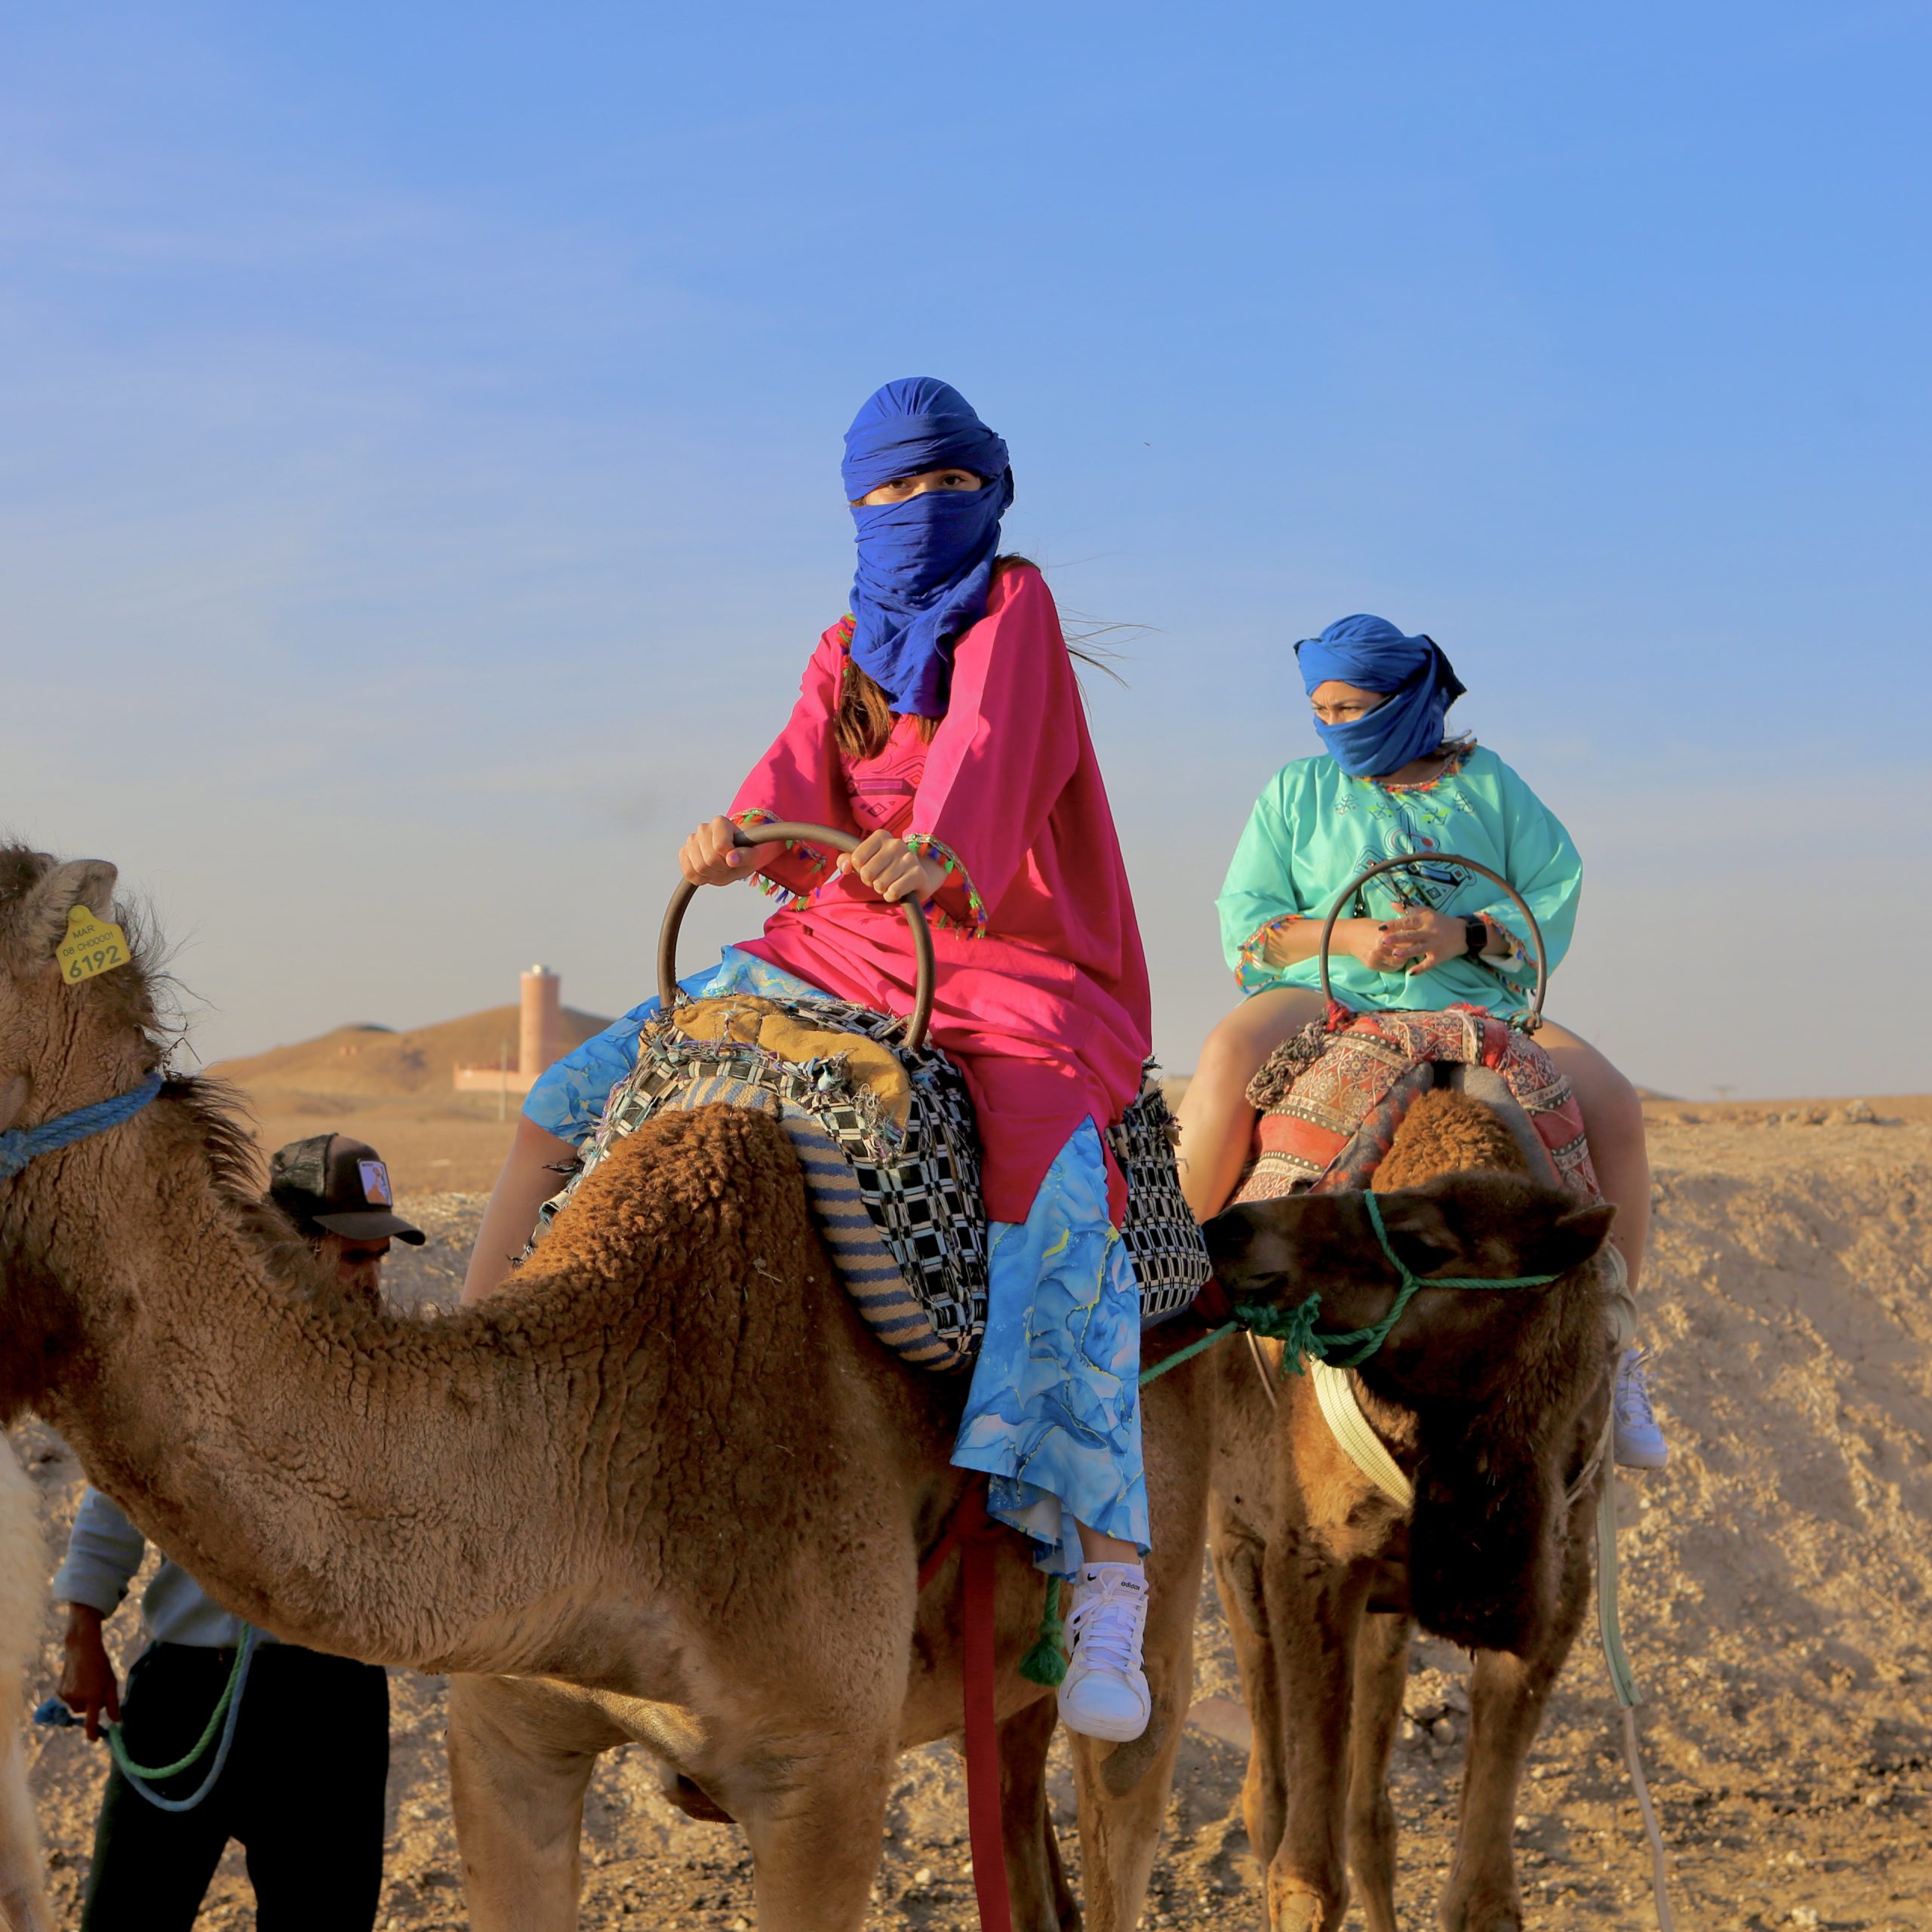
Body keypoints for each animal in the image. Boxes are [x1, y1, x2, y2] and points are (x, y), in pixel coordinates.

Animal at [1201, 1083, 1619, 1932]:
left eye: (1425, 1244)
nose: (1232, 1228)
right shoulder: (1312, 1554)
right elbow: (1305, 1875)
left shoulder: (1547, 1586)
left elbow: (1483, 1896)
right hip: (1234, 1549)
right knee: (1268, 1797)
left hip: (1385, 1610)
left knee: (1371, 1813)